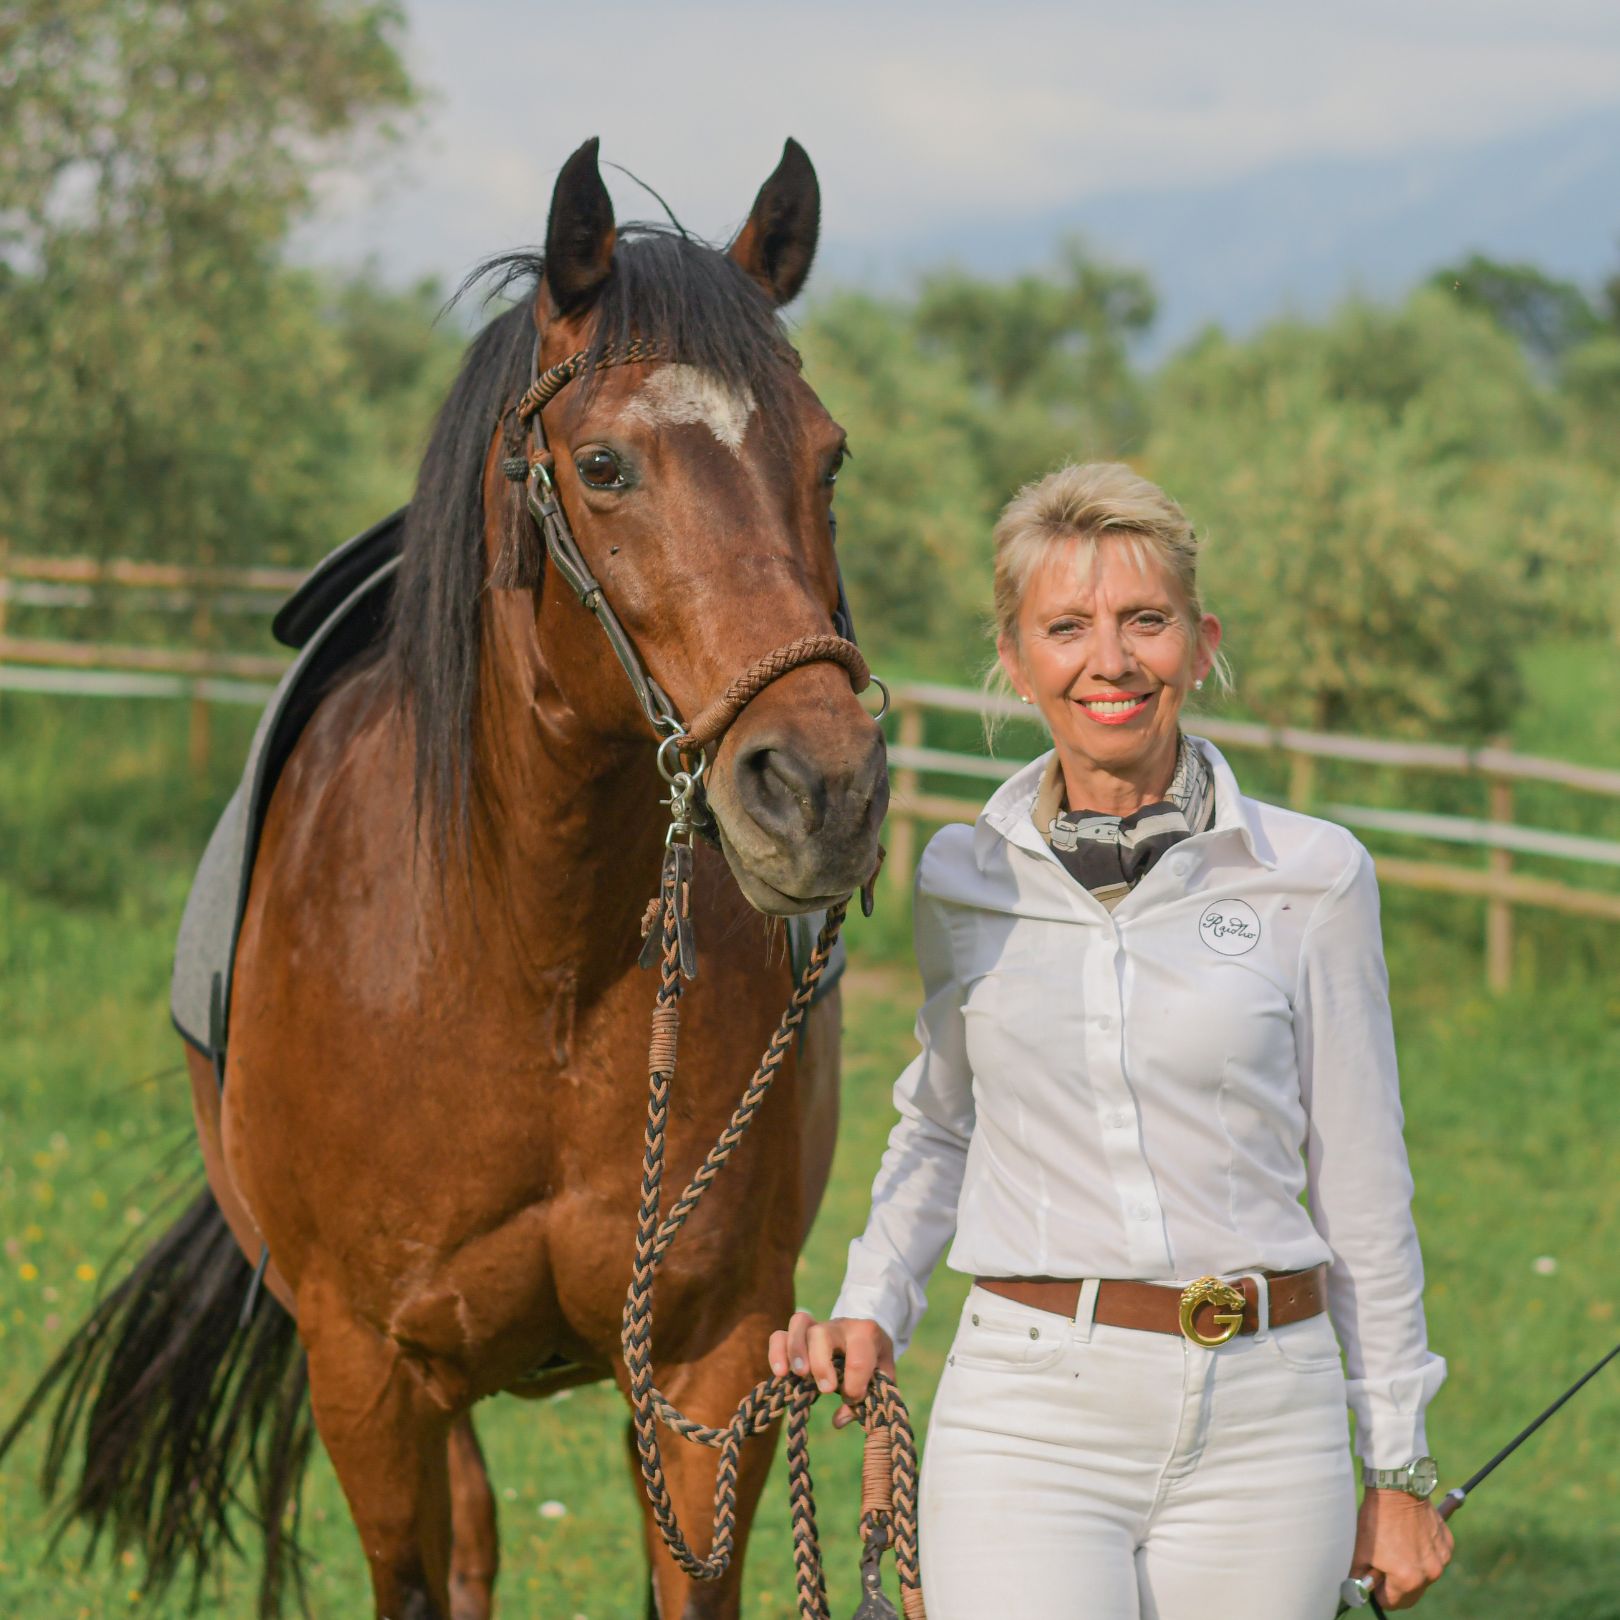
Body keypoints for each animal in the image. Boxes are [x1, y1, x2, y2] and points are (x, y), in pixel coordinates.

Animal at [7, 136, 888, 1620]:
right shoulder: (365, 1371)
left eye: (825, 460)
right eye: (603, 464)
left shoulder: (711, 1363)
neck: (529, 962)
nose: (822, 793)